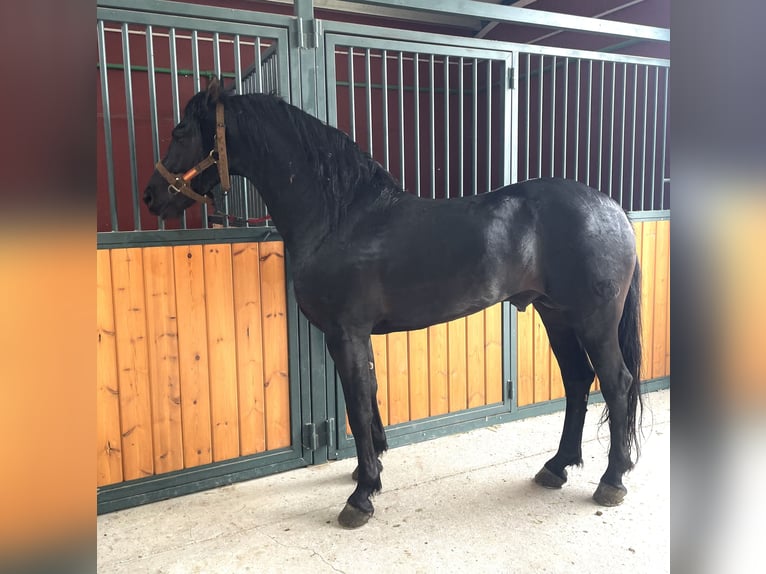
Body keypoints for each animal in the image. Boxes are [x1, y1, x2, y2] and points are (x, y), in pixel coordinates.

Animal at [142, 77, 640, 532]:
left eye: (181, 132)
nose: (151, 196)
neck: (340, 217)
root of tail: (612, 209)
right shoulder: (350, 336)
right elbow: (367, 399)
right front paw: (371, 470)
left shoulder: (345, 334)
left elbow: (359, 409)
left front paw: (361, 496)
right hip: (555, 316)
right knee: (578, 381)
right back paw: (556, 467)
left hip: (593, 321)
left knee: (616, 383)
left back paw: (612, 480)